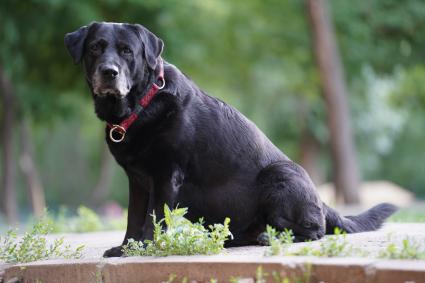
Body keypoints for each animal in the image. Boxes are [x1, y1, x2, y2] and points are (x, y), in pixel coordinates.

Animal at [64, 21, 396, 258]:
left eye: (127, 51)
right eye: (95, 48)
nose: (109, 72)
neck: (141, 105)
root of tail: (322, 201)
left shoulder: (165, 175)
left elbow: (153, 218)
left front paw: (142, 250)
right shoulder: (137, 180)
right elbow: (133, 218)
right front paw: (125, 249)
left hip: (280, 174)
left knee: (314, 230)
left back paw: (270, 237)